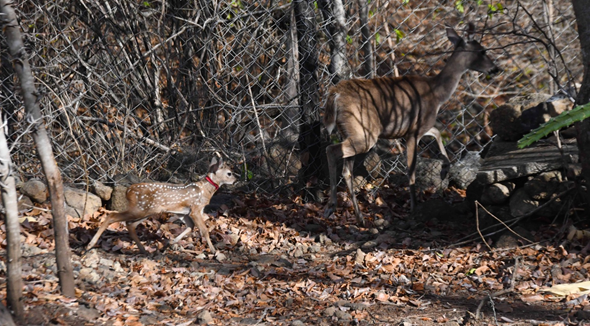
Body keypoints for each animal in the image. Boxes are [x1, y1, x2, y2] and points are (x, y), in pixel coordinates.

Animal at [88, 157, 236, 255]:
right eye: (229, 173)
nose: (235, 180)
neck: (205, 190)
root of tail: (128, 190)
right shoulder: (195, 208)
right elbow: (204, 230)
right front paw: (214, 251)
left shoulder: (183, 212)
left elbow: (190, 227)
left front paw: (170, 243)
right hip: (140, 208)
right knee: (112, 216)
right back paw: (90, 245)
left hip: (146, 211)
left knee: (130, 224)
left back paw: (143, 250)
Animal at [324, 24, 500, 225]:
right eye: (482, 50)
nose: (495, 69)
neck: (437, 93)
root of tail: (335, 95)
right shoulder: (413, 132)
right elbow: (411, 170)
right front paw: (415, 207)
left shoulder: (418, 128)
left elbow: (437, 132)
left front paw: (444, 170)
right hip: (364, 132)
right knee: (331, 150)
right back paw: (331, 207)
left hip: (349, 131)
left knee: (346, 169)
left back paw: (358, 217)